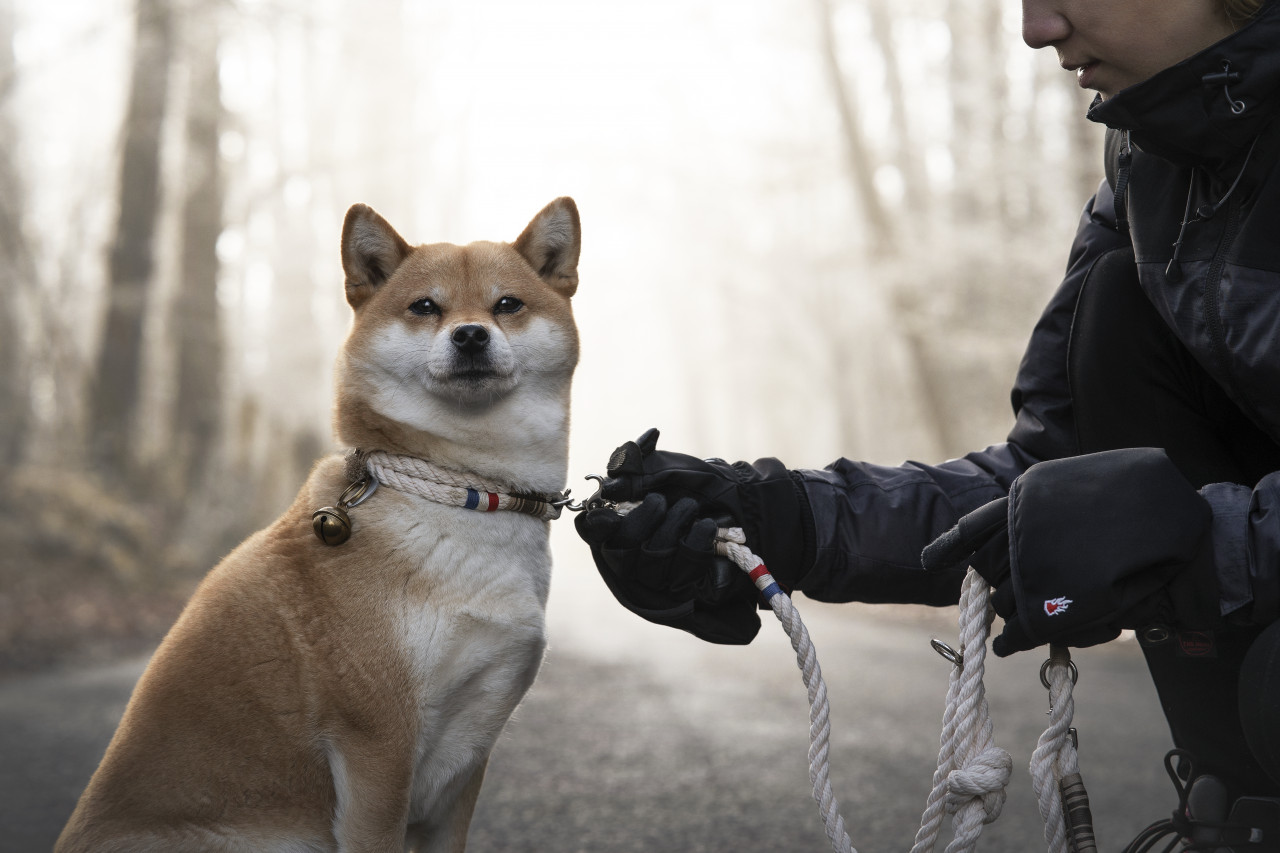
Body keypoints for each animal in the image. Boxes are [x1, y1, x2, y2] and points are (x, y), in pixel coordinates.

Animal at [57, 197, 583, 850]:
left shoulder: (467, 762)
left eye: (506, 305)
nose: (469, 335)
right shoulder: (381, 746)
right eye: (425, 307)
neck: (462, 491)